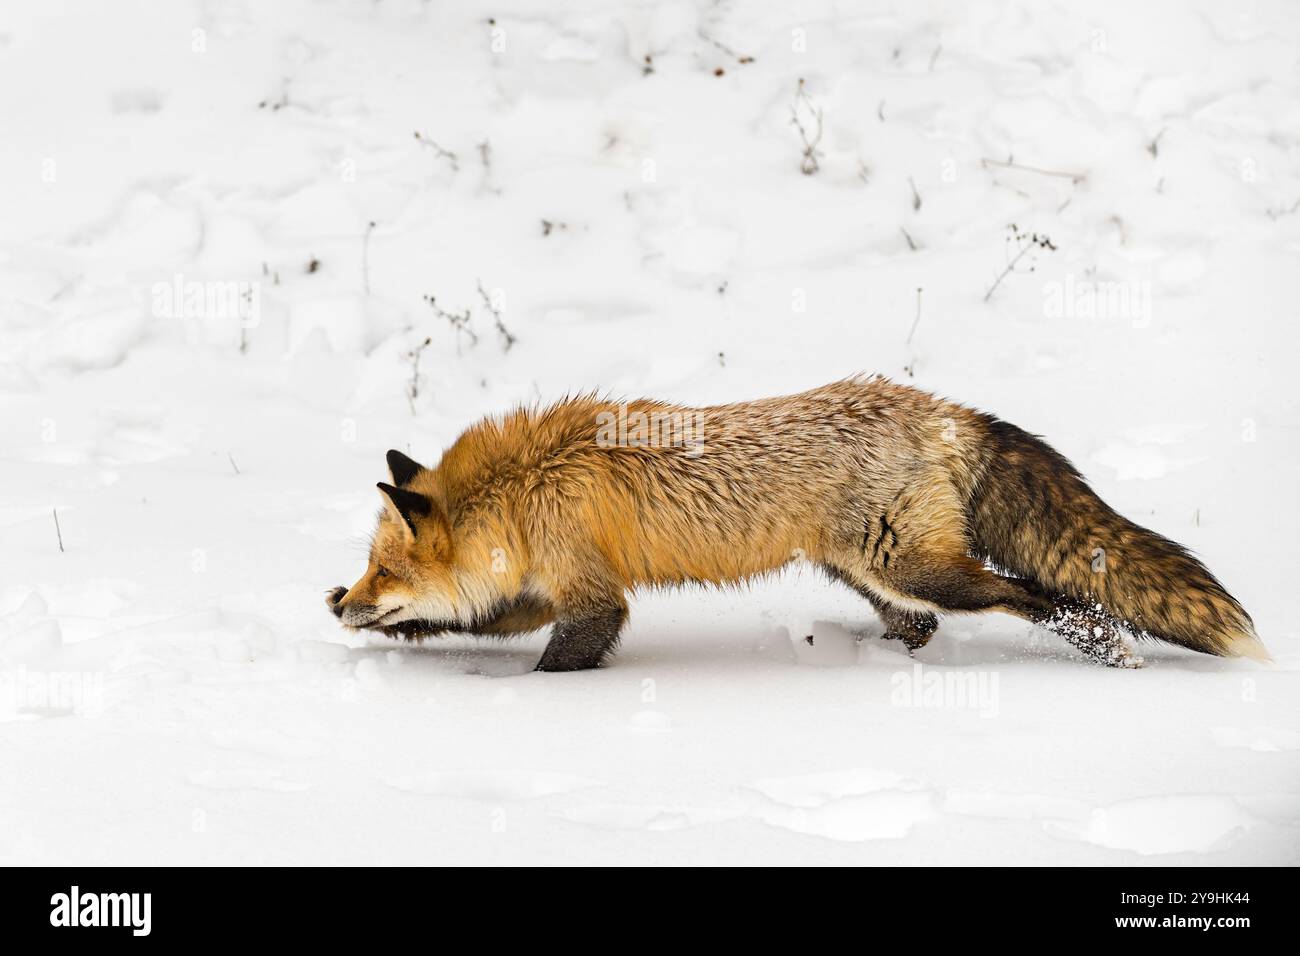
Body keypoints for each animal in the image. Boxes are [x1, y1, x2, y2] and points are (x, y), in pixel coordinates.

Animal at [327, 377, 1268, 671]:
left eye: (386, 571)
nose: (341, 601)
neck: (524, 492)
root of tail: (940, 408)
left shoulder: (593, 595)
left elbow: (555, 658)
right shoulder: (544, 582)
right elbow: (479, 620)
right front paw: (397, 638)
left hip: (918, 566)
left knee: (1036, 596)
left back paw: (1109, 647)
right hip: (858, 566)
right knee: (921, 626)